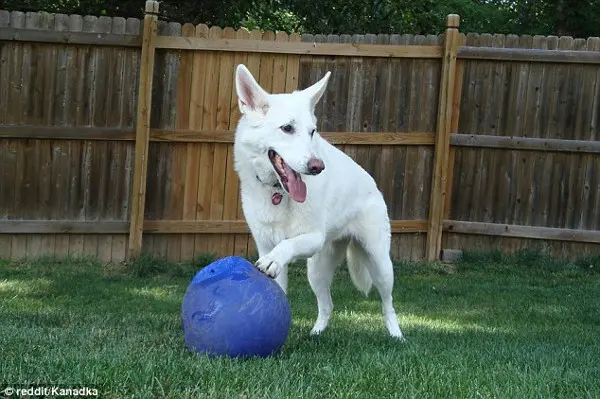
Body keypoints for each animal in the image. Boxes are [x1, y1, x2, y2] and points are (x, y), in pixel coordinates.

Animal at [232, 63, 406, 340]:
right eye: (287, 128)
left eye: (312, 132)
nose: (317, 166)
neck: (278, 193)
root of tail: (373, 185)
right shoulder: (265, 243)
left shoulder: (311, 238)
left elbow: (286, 245)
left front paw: (274, 260)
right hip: (317, 270)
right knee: (327, 304)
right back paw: (316, 333)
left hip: (379, 263)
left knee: (387, 303)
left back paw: (397, 336)